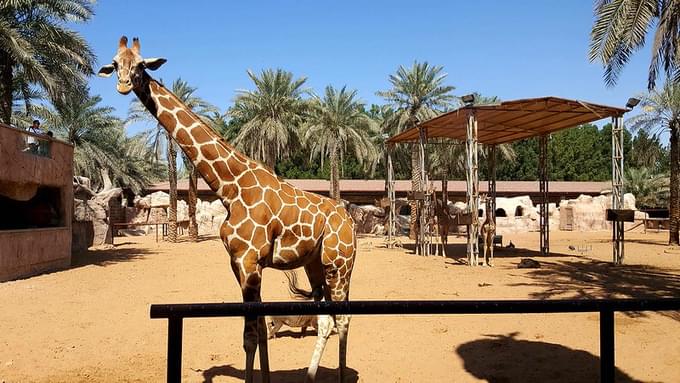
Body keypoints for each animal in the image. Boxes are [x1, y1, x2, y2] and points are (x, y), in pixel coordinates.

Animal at [99, 36, 356, 383]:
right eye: (115, 63)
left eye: (140, 64)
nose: (124, 85)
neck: (229, 188)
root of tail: (349, 219)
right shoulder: (239, 263)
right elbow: (259, 329)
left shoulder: (249, 260)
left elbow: (249, 335)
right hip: (314, 264)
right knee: (327, 320)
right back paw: (311, 376)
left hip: (339, 264)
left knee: (343, 318)